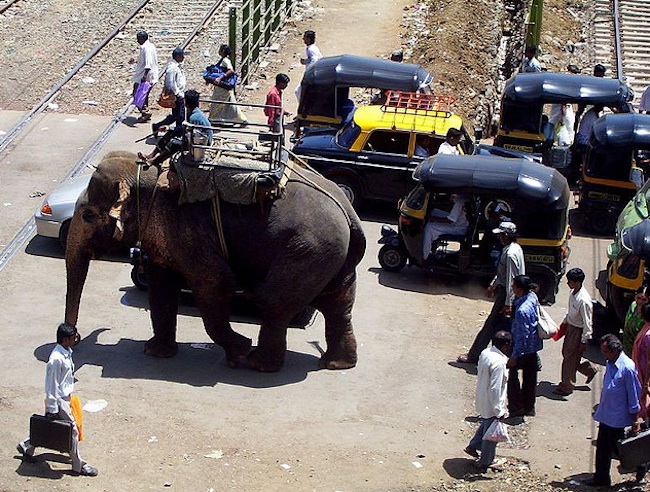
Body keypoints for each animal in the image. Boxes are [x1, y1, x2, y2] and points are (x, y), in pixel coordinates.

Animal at [64, 151, 366, 372]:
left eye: (88, 215)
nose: (70, 336)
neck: (149, 171)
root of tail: (348, 212)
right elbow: (161, 288)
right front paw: (154, 352)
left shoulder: (186, 230)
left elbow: (216, 283)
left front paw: (239, 351)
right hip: (331, 256)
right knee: (338, 304)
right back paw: (336, 363)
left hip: (309, 251)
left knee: (272, 300)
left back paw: (259, 364)